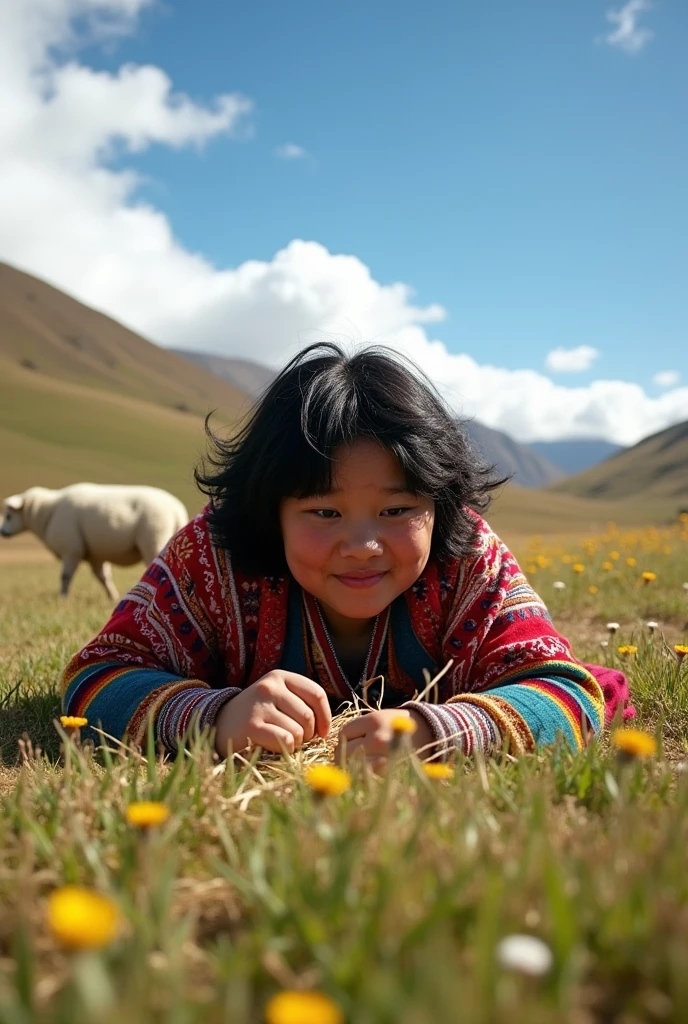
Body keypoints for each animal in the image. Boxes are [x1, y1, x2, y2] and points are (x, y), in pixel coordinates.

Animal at [0, 481, 188, 598]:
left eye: (8, 516)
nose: (2, 532)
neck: (46, 512)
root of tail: (177, 510)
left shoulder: (71, 550)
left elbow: (65, 576)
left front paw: (63, 597)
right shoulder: (95, 556)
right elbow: (103, 578)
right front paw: (112, 596)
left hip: (154, 540)